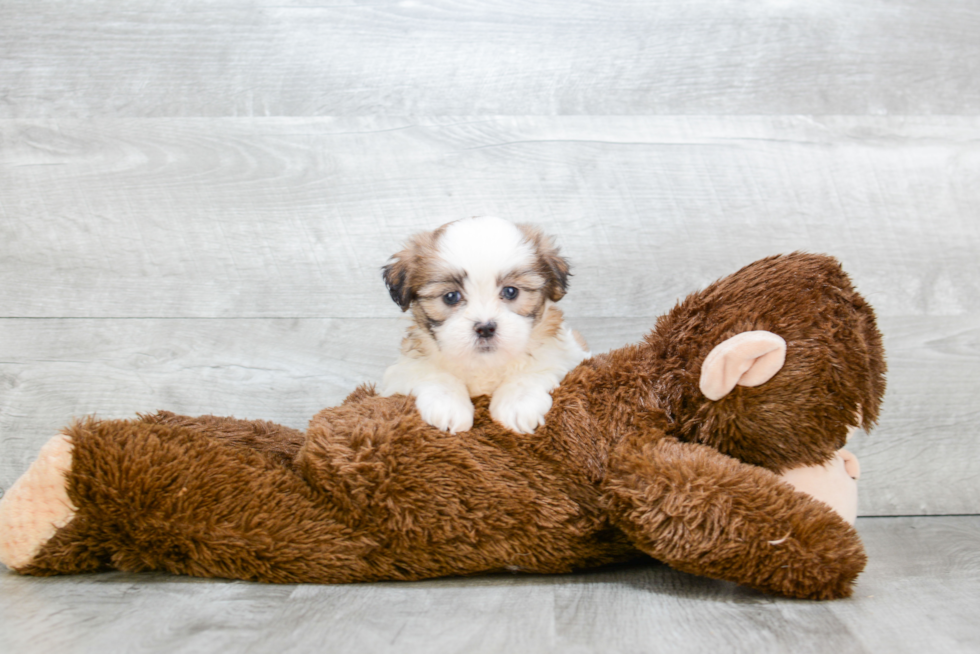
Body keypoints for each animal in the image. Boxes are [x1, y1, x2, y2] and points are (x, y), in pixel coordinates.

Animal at [378, 218, 584, 438]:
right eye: (451, 296)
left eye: (511, 292)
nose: (485, 328)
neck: (484, 364)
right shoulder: (401, 371)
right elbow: (433, 374)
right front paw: (448, 404)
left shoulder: (567, 355)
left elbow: (534, 369)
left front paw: (518, 402)